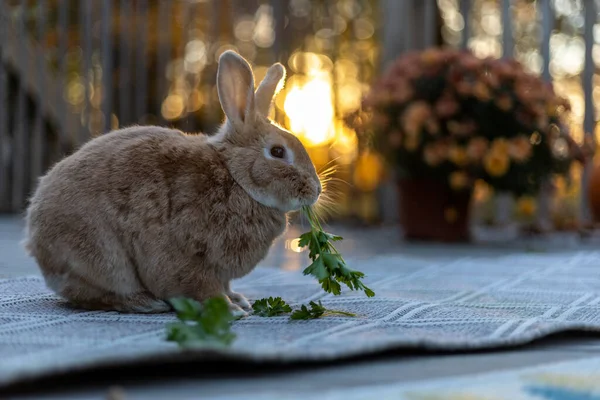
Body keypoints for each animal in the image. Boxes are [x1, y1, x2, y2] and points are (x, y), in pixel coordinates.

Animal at [22, 50, 324, 318]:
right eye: (277, 152)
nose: (316, 190)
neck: (236, 177)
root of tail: (36, 242)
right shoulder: (189, 256)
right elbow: (201, 288)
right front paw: (231, 310)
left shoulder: (221, 272)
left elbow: (224, 286)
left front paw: (238, 300)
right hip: (103, 259)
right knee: (99, 293)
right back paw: (145, 303)